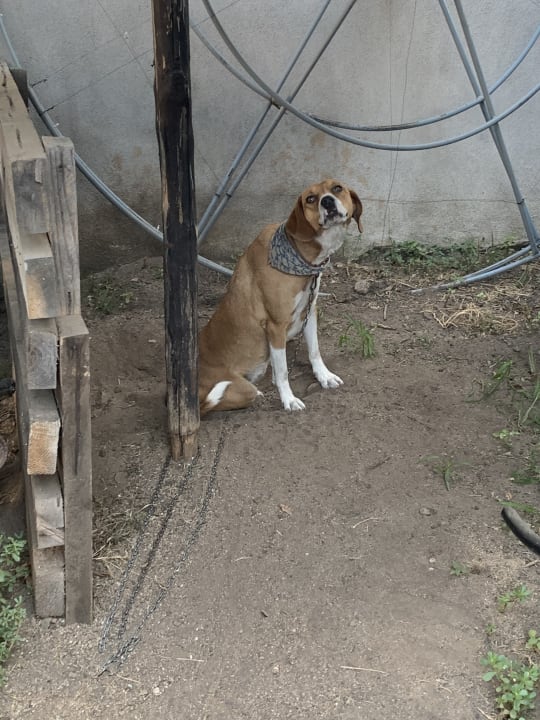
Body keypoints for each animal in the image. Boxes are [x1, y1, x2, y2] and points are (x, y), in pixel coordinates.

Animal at [199, 179, 363, 415]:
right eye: (310, 199)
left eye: (337, 188)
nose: (327, 202)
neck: (301, 258)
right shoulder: (275, 325)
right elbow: (284, 370)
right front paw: (289, 399)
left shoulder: (309, 311)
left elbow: (314, 351)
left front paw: (324, 376)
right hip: (242, 389)